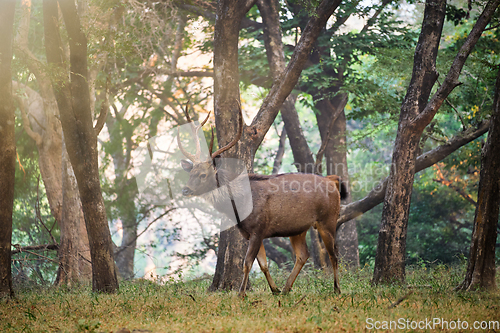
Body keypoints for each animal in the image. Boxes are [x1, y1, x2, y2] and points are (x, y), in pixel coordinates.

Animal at [178, 102, 346, 296]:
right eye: (190, 173)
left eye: (203, 175)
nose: (185, 190)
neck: (240, 207)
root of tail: (332, 181)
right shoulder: (249, 233)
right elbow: (263, 264)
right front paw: (275, 290)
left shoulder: (259, 228)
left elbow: (247, 263)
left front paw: (241, 294)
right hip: (298, 228)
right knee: (303, 254)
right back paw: (287, 288)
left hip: (328, 219)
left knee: (334, 254)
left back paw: (337, 288)